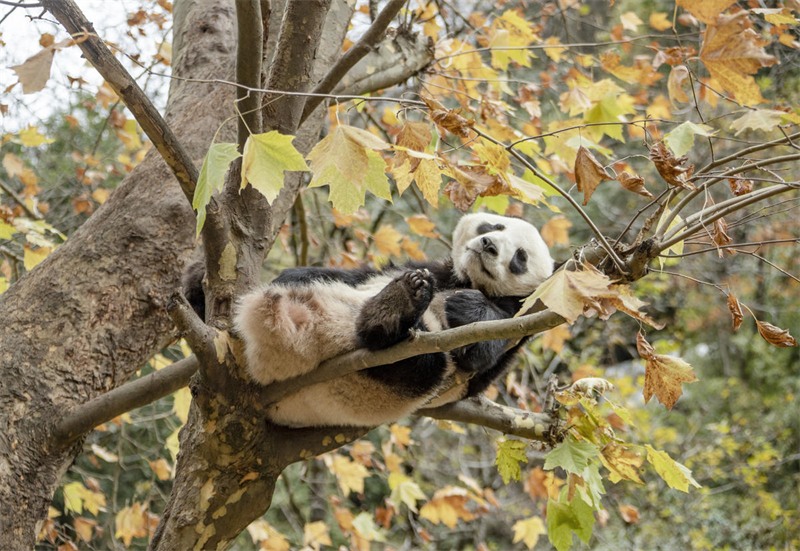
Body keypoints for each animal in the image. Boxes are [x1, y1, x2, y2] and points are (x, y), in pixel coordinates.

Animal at [188, 213, 552, 430]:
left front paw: (469, 308)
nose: (489, 245)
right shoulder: (433, 269)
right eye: (494, 226)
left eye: (520, 257)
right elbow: (356, 274)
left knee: (423, 363)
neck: (468, 280)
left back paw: (388, 314)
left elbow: (480, 353)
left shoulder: (522, 319)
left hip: (398, 382)